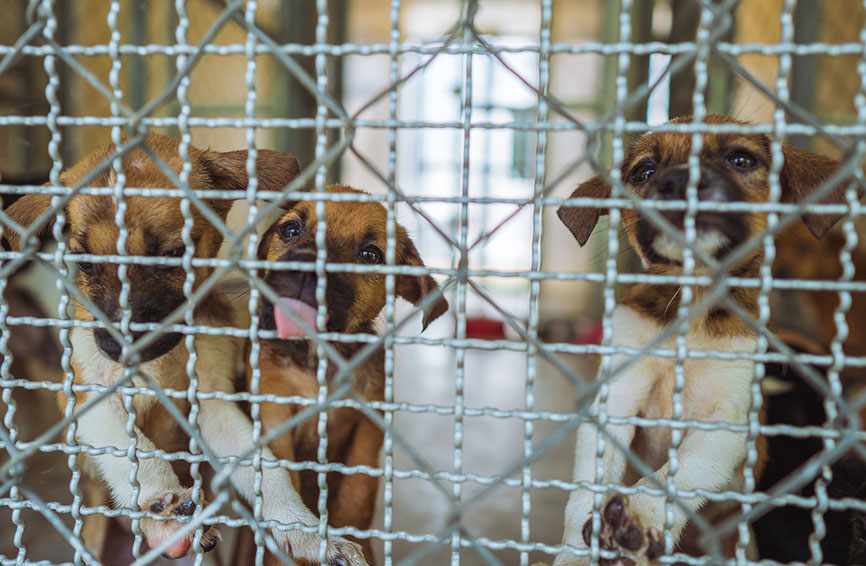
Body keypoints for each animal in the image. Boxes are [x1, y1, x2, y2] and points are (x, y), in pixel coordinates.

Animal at [4, 135, 372, 564]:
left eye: (173, 255)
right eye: (85, 263)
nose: (116, 346)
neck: (166, 359)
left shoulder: (214, 403)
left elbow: (268, 472)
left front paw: (306, 531)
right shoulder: (87, 395)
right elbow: (136, 451)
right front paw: (166, 510)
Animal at [250, 184, 448, 564]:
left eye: (370, 254)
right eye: (291, 230)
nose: (306, 271)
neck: (319, 362)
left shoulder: (369, 425)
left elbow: (358, 494)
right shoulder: (276, 416)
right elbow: (286, 480)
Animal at [552, 116, 848, 566]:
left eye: (741, 159)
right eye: (645, 171)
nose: (679, 181)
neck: (692, 310)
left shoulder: (726, 423)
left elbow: (676, 473)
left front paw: (639, 515)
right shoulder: (616, 396)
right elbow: (588, 486)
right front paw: (575, 552)